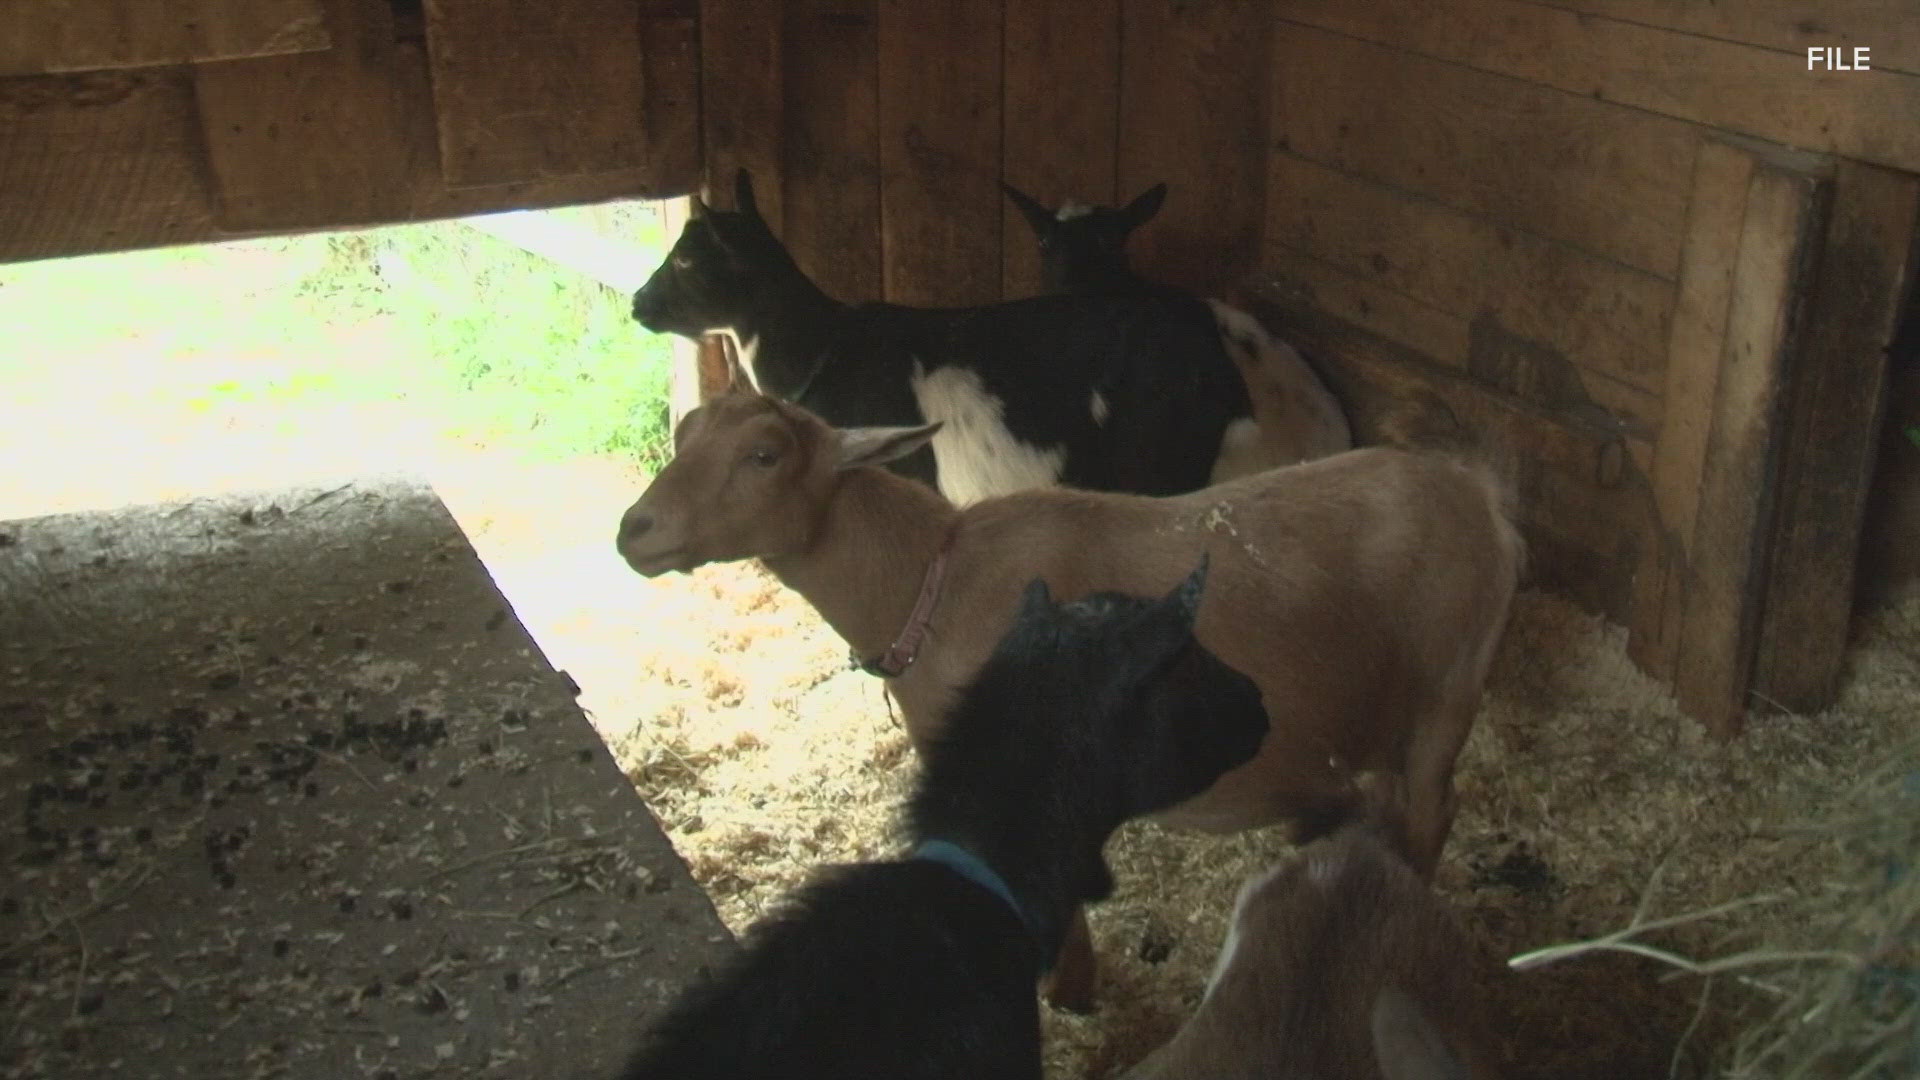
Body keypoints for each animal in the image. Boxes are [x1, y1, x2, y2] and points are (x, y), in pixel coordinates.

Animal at [622, 393, 1520, 999]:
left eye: (764, 456)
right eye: (685, 431)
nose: (635, 530)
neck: (933, 579)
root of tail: (1477, 493)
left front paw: (1068, 990)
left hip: (1450, 683)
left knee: (1430, 810)